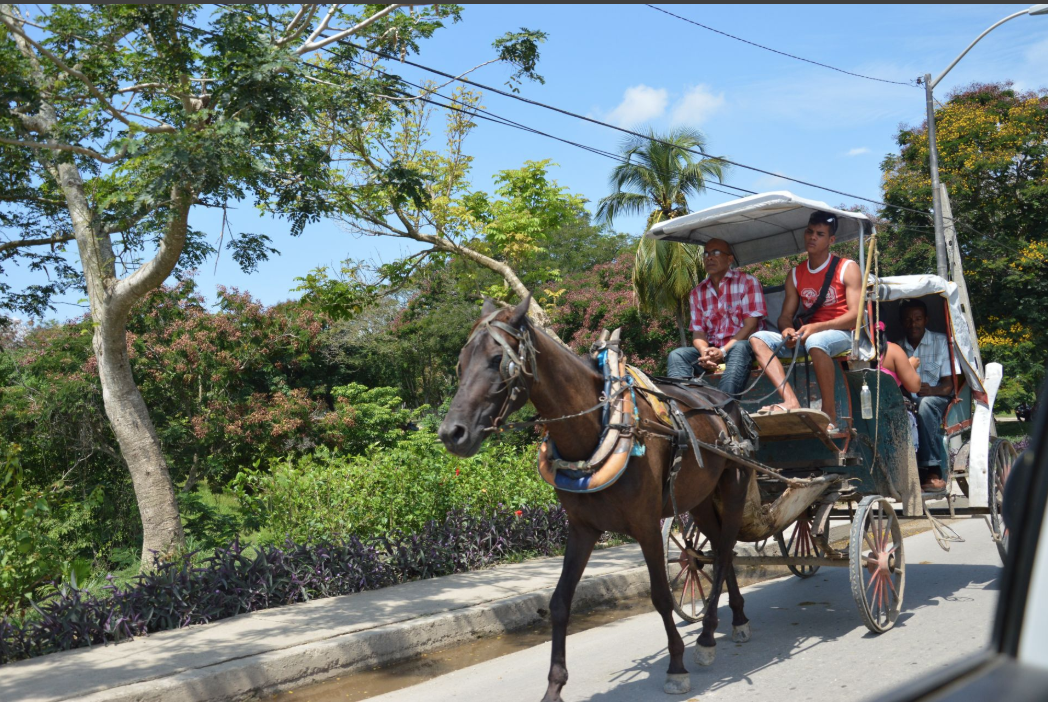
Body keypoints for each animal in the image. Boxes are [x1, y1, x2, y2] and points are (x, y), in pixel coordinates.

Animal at [440, 297, 754, 702]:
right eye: (460, 364)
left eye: (498, 360)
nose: (451, 433)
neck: (599, 427)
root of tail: (725, 400)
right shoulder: (582, 528)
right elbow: (559, 602)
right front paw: (554, 686)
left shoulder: (646, 525)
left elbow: (660, 595)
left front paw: (676, 666)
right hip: (698, 497)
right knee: (718, 547)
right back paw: (733, 619)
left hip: (733, 486)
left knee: (727, 546)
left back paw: (708, 635)